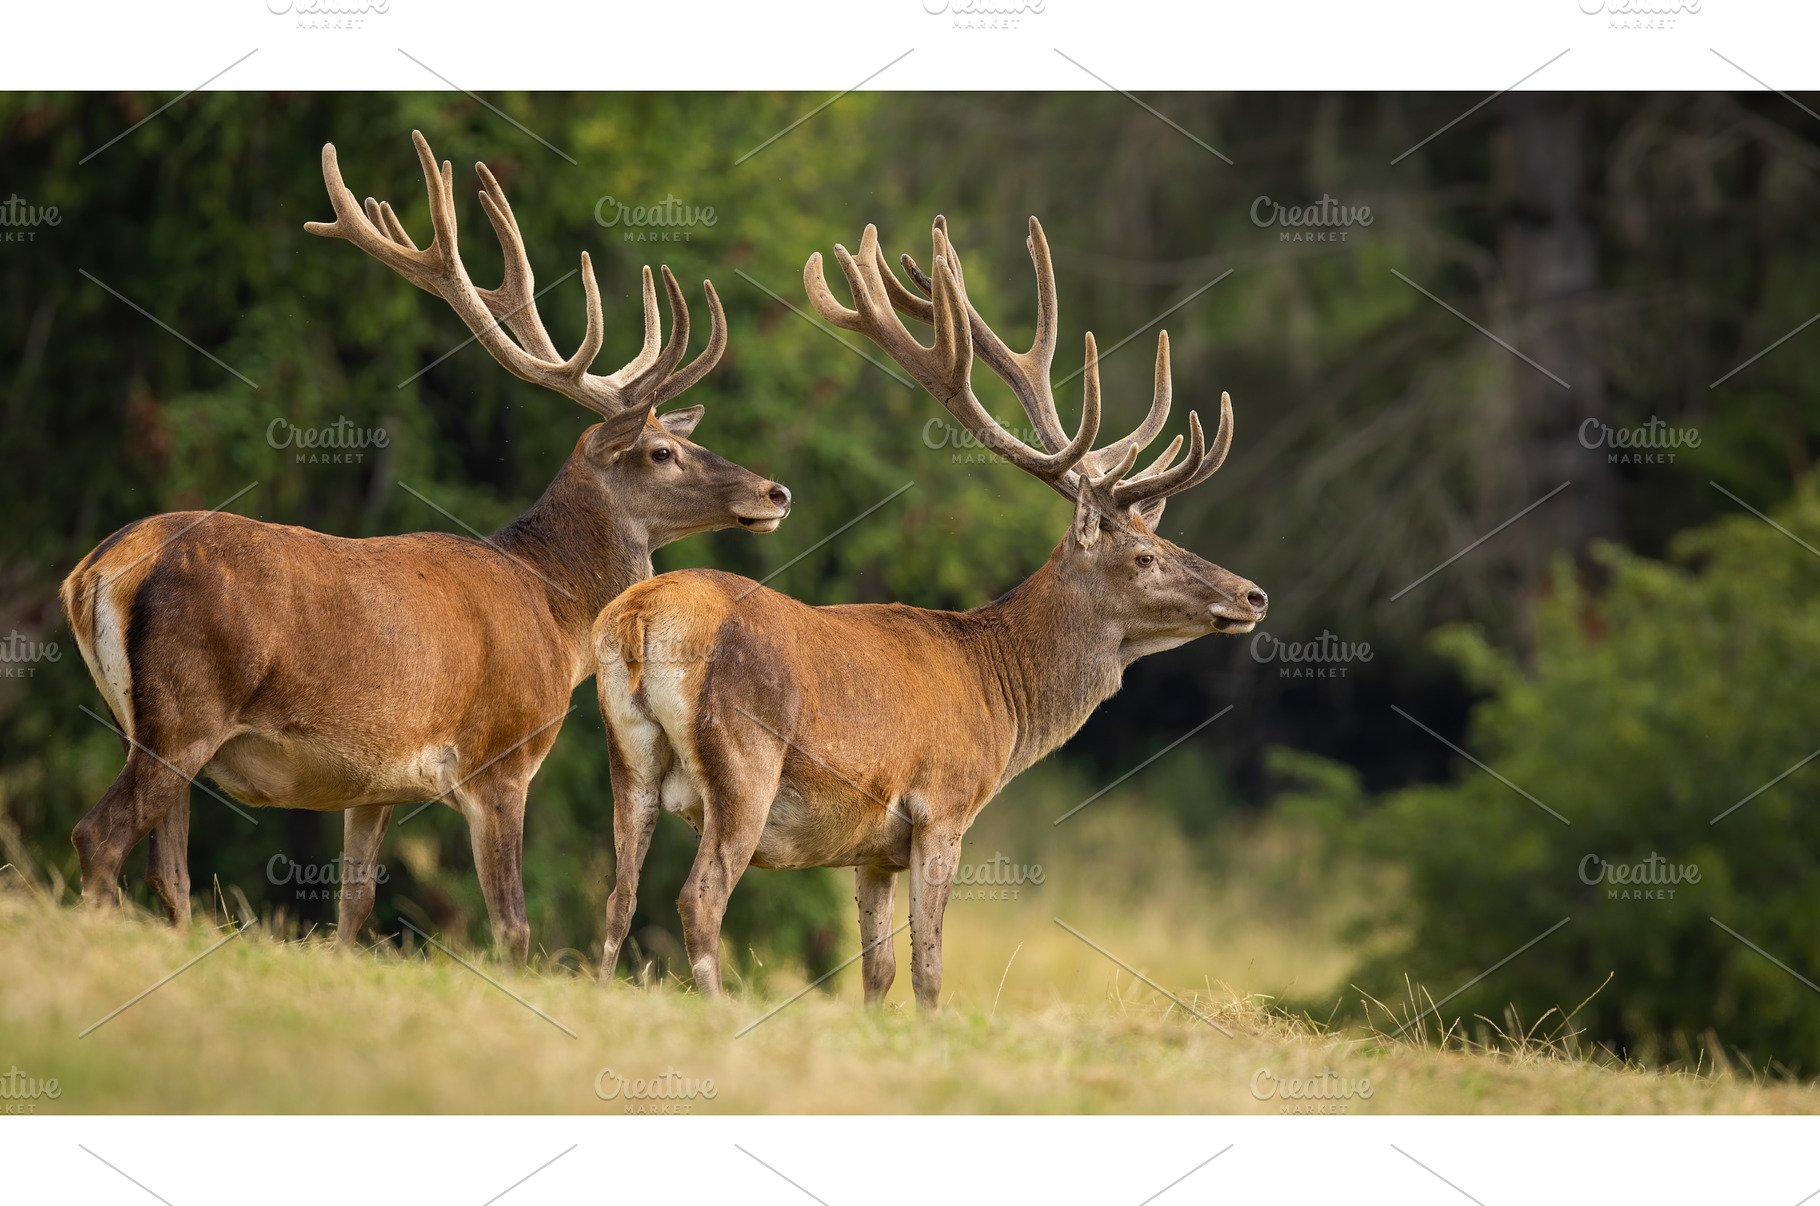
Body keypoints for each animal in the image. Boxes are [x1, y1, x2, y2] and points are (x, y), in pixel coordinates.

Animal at [59, 131, 792, 962]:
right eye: (662, 452)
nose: (774, 493)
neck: (556, 615)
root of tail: (96, 572)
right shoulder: (500, 754)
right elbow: (512, 922)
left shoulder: (372, 783)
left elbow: (351, 908)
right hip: (187, 708)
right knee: (97, 835)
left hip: (147, 724)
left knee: (170, 871)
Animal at [589, 215, 1267, 1006]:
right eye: (1145, 557)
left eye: (1163, 538)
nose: (1252, 595)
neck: (999, 695)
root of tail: (639, 619)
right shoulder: (942, 806)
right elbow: (929, 967)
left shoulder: (873, 846)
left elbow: (877, 969)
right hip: (744, 759)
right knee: (699, 896)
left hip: (626, 757)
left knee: (618, 895)